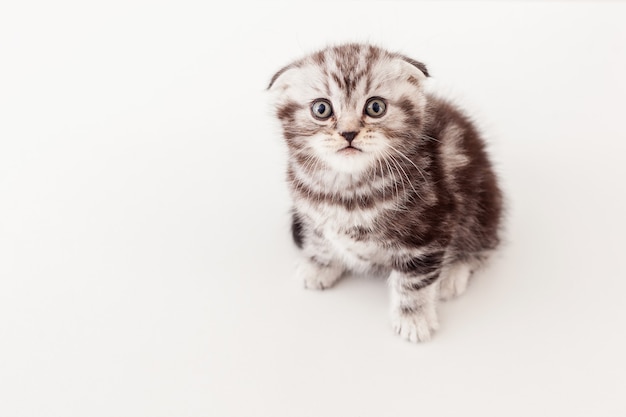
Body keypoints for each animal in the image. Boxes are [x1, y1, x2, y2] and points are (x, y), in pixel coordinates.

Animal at [266, 43, 500, 342]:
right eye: (321, 109)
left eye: (375, 107)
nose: (348, 133)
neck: (349, 190)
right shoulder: (310, 211)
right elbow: (320, 239)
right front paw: (319, 265)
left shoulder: (428, 230)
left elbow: (414, 280)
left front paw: (414, 318)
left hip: (482, 202)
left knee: (483, 242)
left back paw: (454, 272)